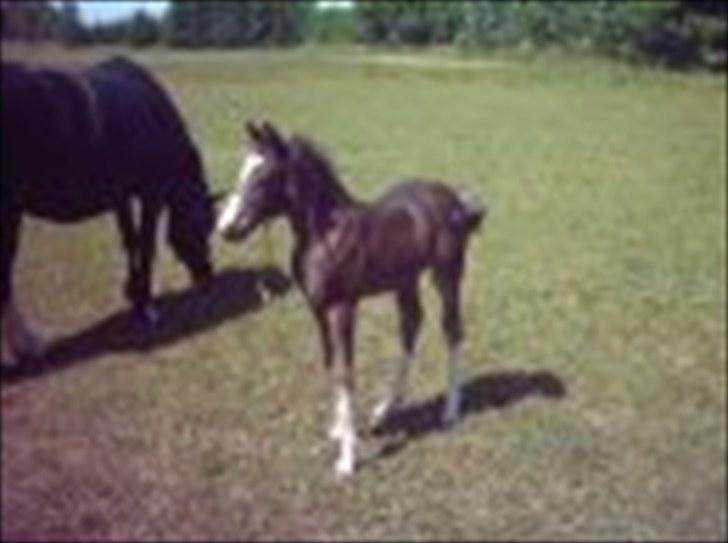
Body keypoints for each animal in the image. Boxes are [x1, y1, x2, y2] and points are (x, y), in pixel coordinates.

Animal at [1, 56, 216, 367]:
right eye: (203, 225)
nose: (207, 276)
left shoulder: (121, 197)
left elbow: (130, 242)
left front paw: (132, 292)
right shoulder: (151, 195)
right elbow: (146, 246)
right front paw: (146, 305)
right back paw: (28, 346)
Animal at [217, 120, 487, 475]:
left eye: (263, 176)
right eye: (243, 170)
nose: (226, 228)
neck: (326, 235)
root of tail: (456, 201)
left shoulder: (342, 308)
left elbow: (346, 373)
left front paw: (348, 458)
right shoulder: (318, 310)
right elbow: (330, 364)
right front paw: (338, 429)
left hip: (447, 276)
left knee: (451, 329)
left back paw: (450, 411)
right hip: (405, 281)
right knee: (411, 326)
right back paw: (385, 408)